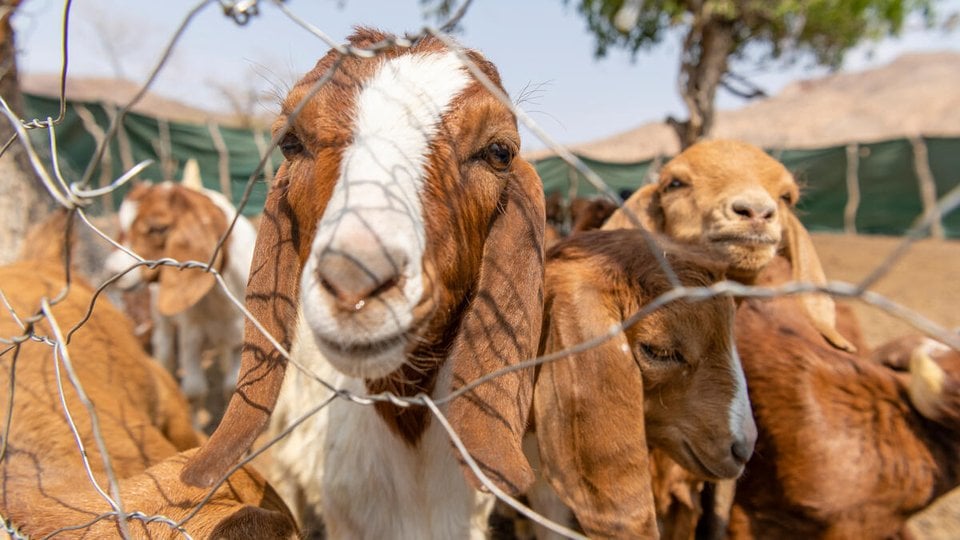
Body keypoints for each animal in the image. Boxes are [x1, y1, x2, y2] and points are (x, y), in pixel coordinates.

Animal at [104, 178, 256, 407]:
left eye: (158, 228)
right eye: (122, 229)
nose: (113, 271)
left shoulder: (239, 336)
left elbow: (232, 386)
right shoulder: (190, 331)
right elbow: (194, 389)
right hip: (161, 316)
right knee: (164, 348)